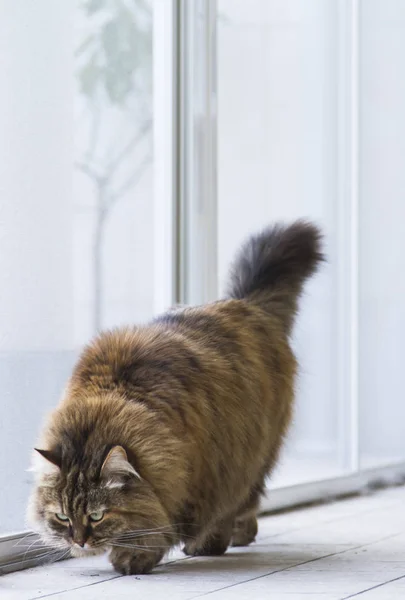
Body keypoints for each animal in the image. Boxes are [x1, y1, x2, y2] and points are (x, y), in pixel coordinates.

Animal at [26, 221, 322, 576]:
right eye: (62, 516)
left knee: (245, 498)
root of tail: (243, 303)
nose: (79, 542)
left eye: (97, 516)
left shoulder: (210, 469)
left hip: (254, 451)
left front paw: (136, 556)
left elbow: (172, 521)